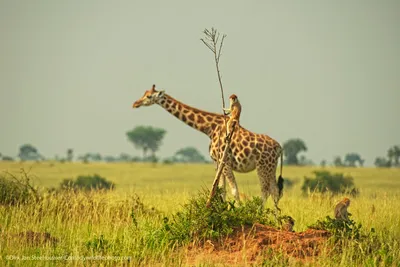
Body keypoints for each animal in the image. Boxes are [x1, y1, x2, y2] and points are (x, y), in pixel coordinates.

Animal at [132, 85, 284, 210]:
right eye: (144, 93)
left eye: (149, 96)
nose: (135, 103)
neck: (209, 128)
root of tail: (279, 147)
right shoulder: (217, 162)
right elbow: (221, 190)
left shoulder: (225, 161)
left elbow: (234, 190)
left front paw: (238, 211)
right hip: (271, 167)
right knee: (275, 191)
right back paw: (277, 218)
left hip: (262, 166)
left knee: (265, 190)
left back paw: (260, 213)